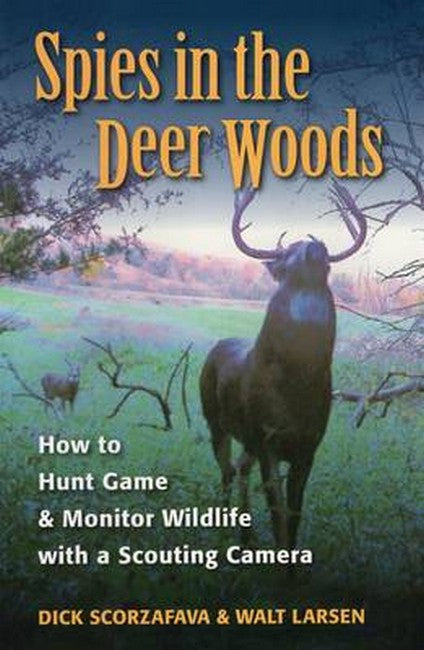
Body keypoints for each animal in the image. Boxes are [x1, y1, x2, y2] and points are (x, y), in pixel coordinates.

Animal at [200, 181, 367, 551]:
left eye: (327, 262)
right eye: (288, 253)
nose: (314, 245)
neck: (296, 384)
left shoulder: (309, 444)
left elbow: (294, 514)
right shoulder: (267, 439)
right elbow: (278, 514)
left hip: (246, 437)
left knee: (240, 467)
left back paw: (246, 536)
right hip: (214, 419)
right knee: (226, 469)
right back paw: (223, 535)